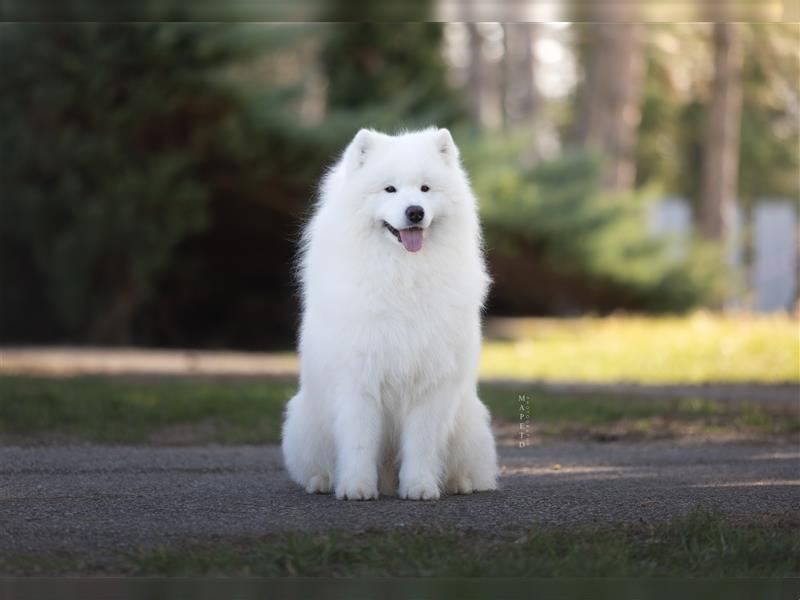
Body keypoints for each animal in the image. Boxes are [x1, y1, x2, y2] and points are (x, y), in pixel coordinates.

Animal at [280, 127, 494, 502]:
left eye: (425, 189)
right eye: (389, 189)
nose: (415, 212)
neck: (402, 274)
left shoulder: (430, 383)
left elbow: (422, 443)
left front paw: (420, 486)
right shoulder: (359, 380)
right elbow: (359, 442)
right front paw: (356, 487)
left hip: (469, 423)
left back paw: (460, 483)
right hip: (305, 422)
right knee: (317, 464)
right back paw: (323, 482)